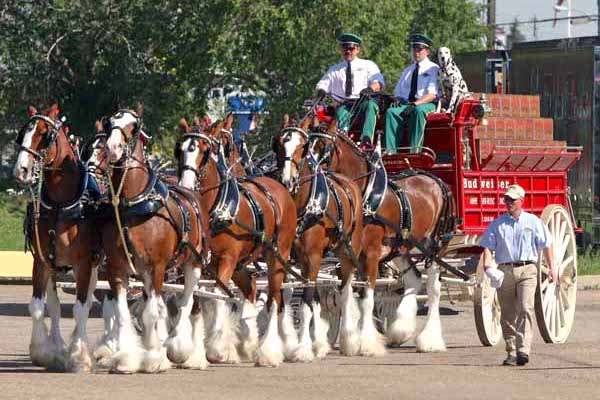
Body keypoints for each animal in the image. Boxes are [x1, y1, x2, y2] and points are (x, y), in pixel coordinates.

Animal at [12, 104, 102, 372]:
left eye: (45, 135)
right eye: (22, 134)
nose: (20, 171)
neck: (61, 205)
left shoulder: (84, 263)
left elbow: (81, 308)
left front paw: (79, 357)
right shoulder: (41, 261)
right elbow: (39, 307)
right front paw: (44, 352)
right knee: (54, 303)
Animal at [89, 106, 211, 372]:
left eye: (133, 125)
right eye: (110, 123)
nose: (113, 148)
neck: (134, 203)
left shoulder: (156, 266)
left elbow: (151, 314)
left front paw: (155, 357)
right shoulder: (117, 269)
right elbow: (123, 313)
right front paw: (126, 358)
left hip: (193, 263)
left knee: (188, 302)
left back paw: (183, 350)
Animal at [178, 118, 300, 366]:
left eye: (204, 151)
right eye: (180, 149)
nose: (185, 184)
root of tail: (279, 187)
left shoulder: (227, 259)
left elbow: (217, 295)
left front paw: (216, 349)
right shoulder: (203, 262)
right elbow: (198, 300)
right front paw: (195, 353)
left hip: (275, 256)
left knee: (274, 298)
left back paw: (269, 350)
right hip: (241, 265)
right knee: (252, 288)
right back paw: (248, 341)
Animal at [274, 118, 366, 360]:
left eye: (302, 146)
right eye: (277, 145)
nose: (287, 180)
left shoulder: (313, 257)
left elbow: (306, 302)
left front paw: (304, 349)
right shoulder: (288, 258)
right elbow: (286, 298)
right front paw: (290, 343)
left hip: (347, 252)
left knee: (345, 291)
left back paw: (348, 341)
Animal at [310, 122, 454, 354]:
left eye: (324, 147)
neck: (363, 196)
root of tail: (436, 180)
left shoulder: (371, 254)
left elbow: (367, 299)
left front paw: (367, 343)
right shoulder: (346, 255)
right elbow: (346, 294)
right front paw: (351, 339)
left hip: (434, 244)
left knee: (433, 287)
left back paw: (430, 340)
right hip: (402, 246)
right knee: (413, 278)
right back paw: (400, 330)